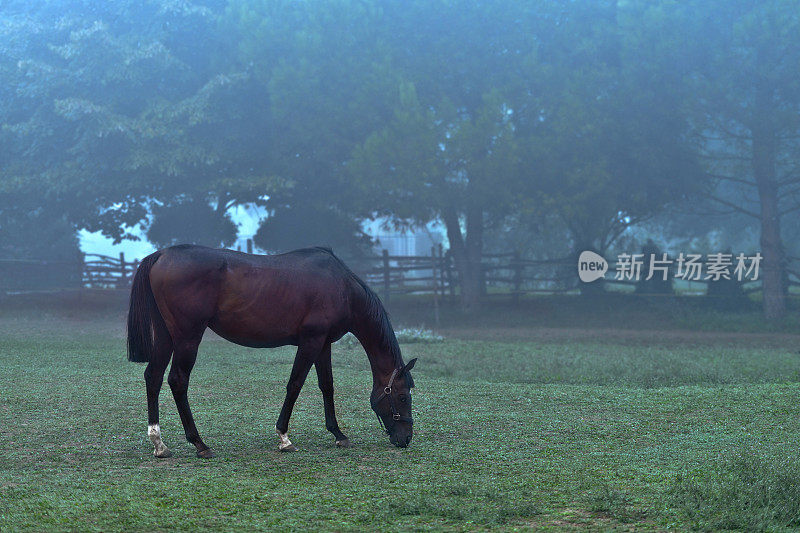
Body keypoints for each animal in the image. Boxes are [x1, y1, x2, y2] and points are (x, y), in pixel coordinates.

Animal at [127, 245, 416, 458]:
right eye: (403, 397)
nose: (406, 438)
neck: (341, 286)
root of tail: (162, 255)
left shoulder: (324, 343)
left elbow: (327, 385)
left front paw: (338, 434)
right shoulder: (311, 341)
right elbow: (295, 384)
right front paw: (284, 438)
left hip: (166, 336)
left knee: (153, 376)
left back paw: (159, 444)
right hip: (187, 337)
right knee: (178, 380)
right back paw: (200, 444)